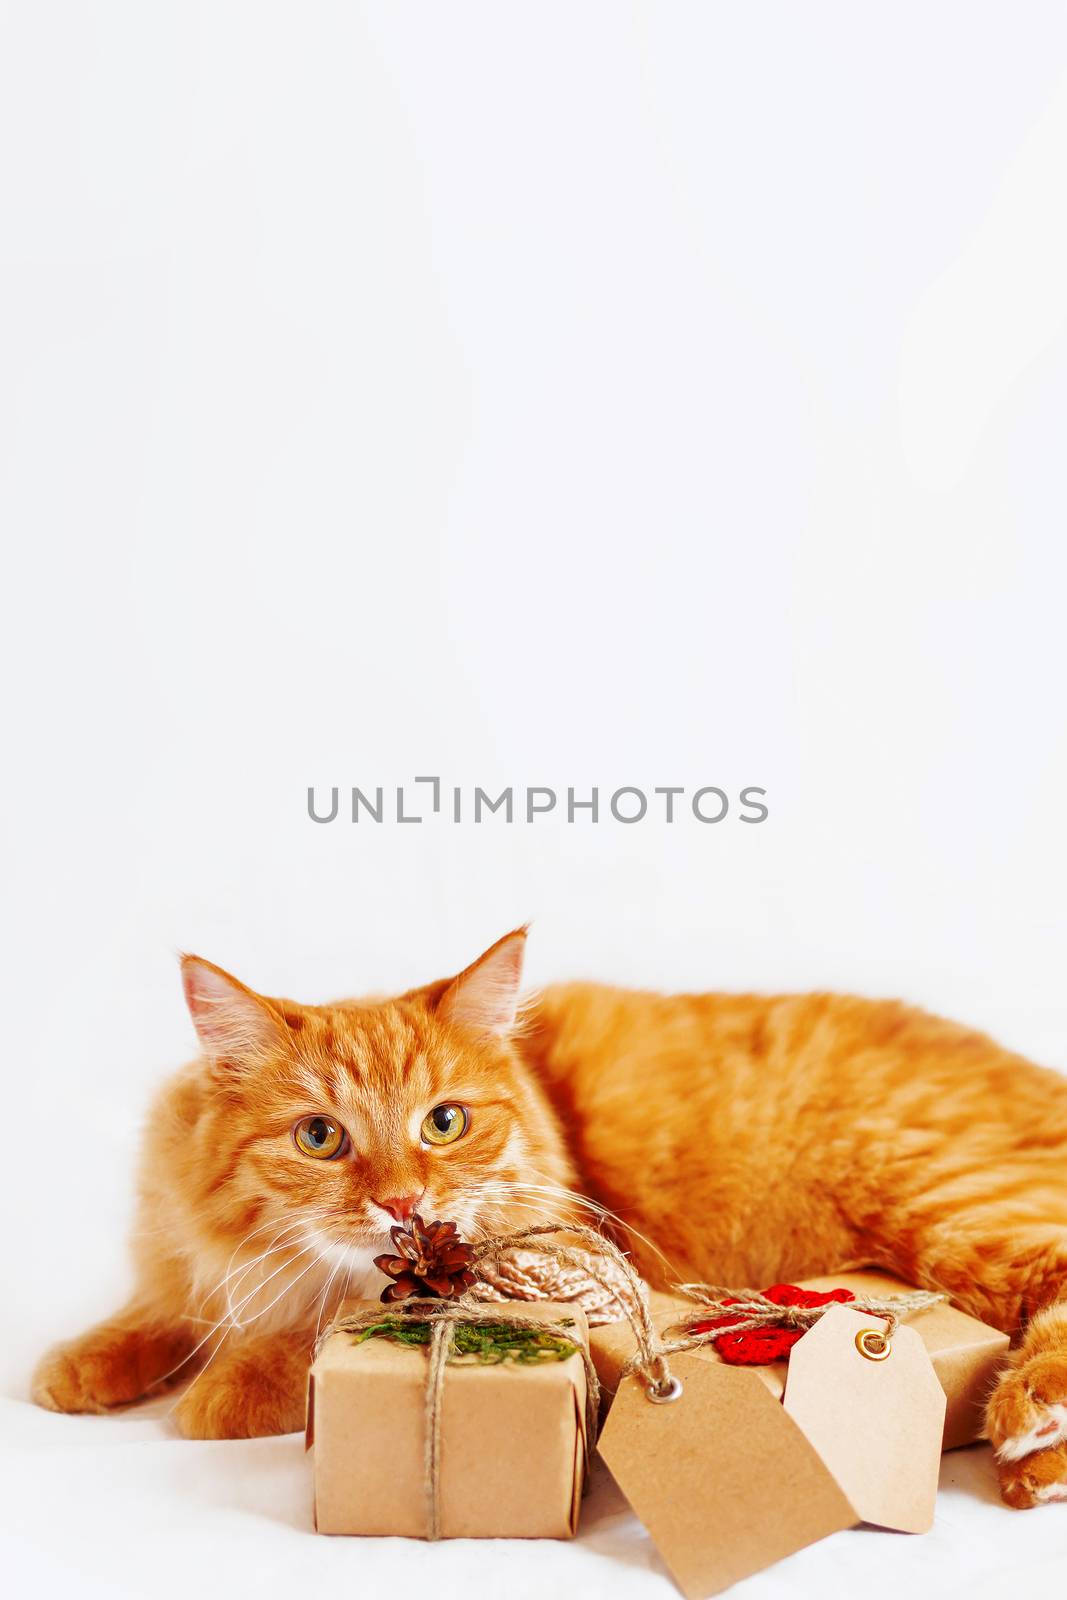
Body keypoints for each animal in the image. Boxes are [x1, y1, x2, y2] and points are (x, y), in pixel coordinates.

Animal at [29, 934, 1067, 1504]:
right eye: (320, 1138)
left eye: (443, 1123)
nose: (402, 1201)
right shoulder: (187, 1255)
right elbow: (157, 1310)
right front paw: (81, 1364)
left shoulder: (557, 1256)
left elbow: (299, 1344)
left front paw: (222, 1386)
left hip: (944, 1200)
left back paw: (1028, 1433)